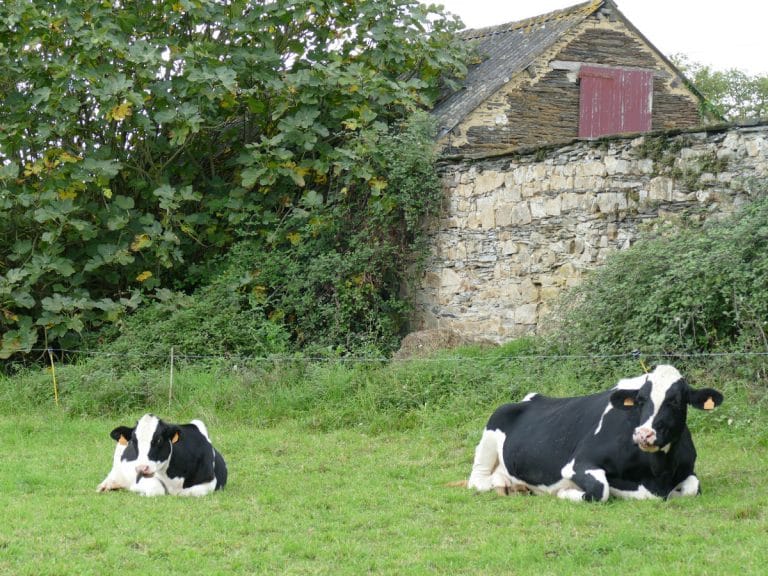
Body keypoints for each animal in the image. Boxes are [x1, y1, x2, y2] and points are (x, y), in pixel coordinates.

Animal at [97, 414, 228, 496]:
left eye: (159, 440)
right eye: (134, 441)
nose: (142, 468)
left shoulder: (210, 481)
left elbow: (190, 492)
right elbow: (157, 488)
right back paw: (106, 485)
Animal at [464, 366, 724, 502]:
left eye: (676, 401)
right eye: (640, 400)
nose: (644, 434)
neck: (658, 473)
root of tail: (531, 398)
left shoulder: (687, 470)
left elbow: (692, 487)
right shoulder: (577, 464)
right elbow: (601, 489)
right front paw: (566, 492)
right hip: (492, 428)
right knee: (478, 479)